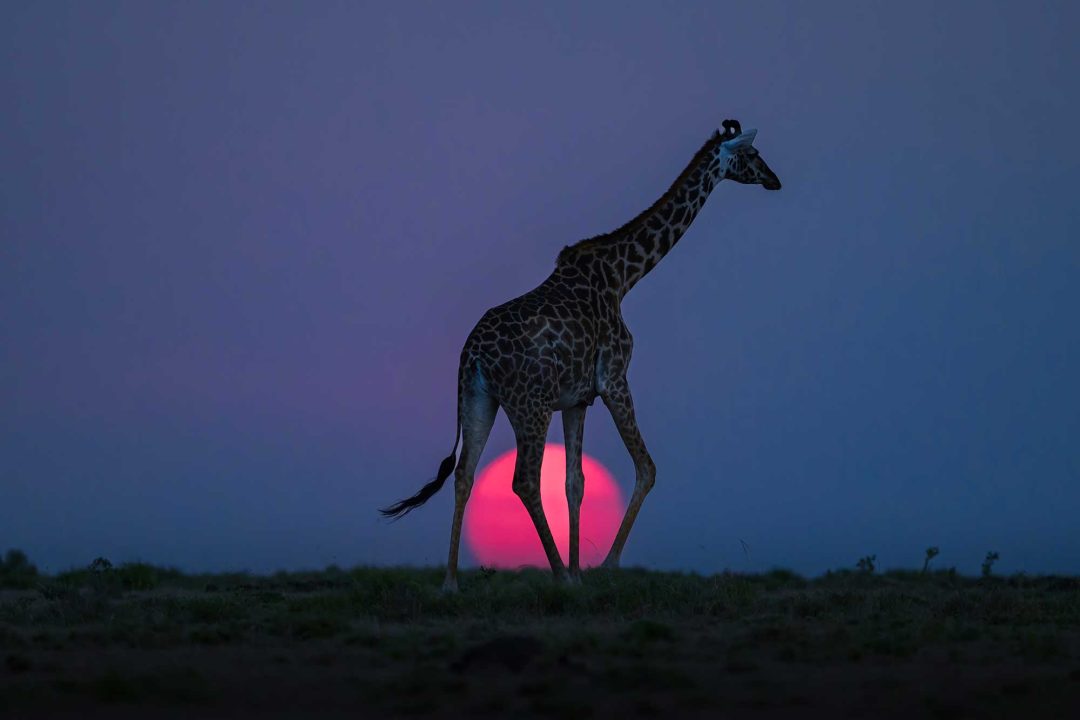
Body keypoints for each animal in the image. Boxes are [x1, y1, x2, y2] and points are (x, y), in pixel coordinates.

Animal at [381, 119, 782, 591]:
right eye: (752, 155)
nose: (775, 179)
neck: (624, 274)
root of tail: (472, 354)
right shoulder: (614, 378)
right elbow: (647, 468)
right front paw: (601, 567)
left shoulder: (577, 399)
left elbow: (576, 483)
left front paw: (578, 571)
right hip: (529, 405)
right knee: (524, 480)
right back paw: (555, 574)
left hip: (479, 400)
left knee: (465, 475)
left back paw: (451, 582)